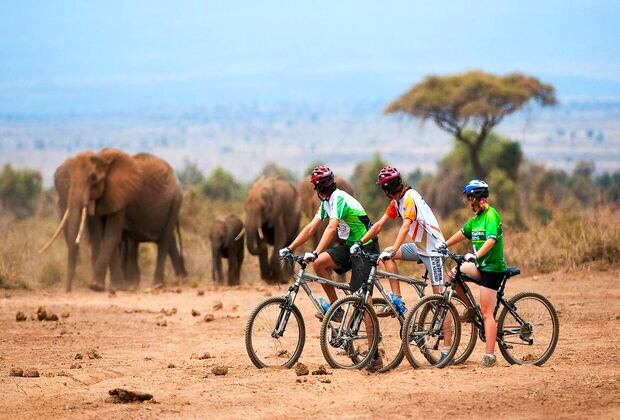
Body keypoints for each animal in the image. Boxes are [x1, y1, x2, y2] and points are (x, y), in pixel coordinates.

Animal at [40, 148, 186, 292]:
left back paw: (157, 286)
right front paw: (116, 287)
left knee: (164, 240)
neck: (103, 159)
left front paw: (97, 286)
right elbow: (101, 235)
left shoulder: (121, 195)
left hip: (175, 202)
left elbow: (111, 235)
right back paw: (178, 280)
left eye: (93, 178)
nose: (68, 290)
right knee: (168, 241)